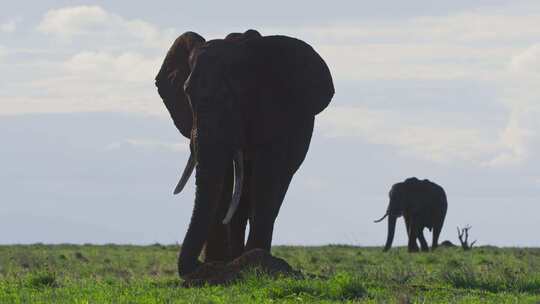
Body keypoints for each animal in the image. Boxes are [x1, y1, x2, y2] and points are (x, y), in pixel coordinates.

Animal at [154, 29, 336, 276]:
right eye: (186, 93)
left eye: (233, 97)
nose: (198, 265)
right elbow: (224, 180)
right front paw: (217, 265)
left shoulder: (276, 111)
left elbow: (267, 175)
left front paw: (254, 263)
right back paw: (233, 259)